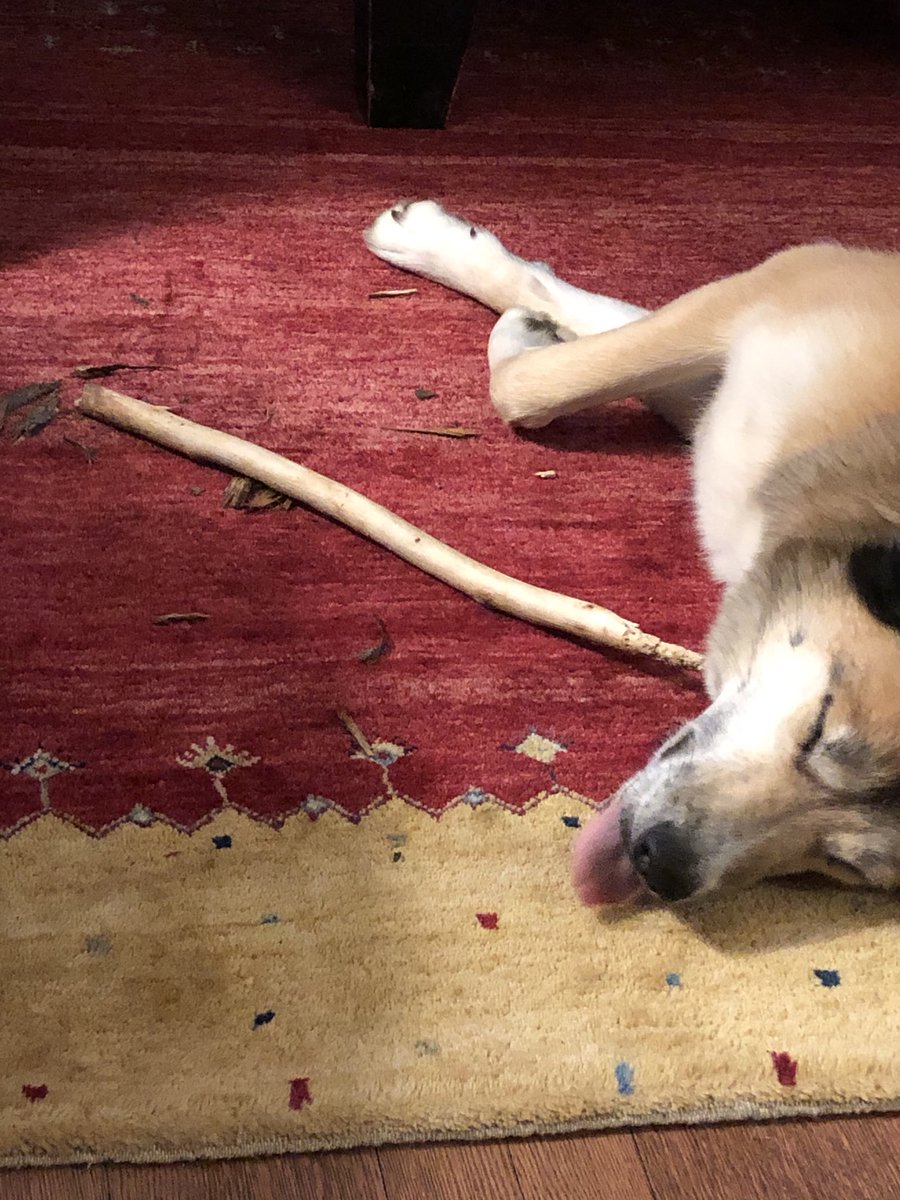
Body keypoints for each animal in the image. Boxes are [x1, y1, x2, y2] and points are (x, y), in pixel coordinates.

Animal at [364, 200, 900, 904]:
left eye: (844, 863)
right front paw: (503, 306)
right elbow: (545, 376)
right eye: (818, 728)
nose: (660, 865)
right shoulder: (777, 294)